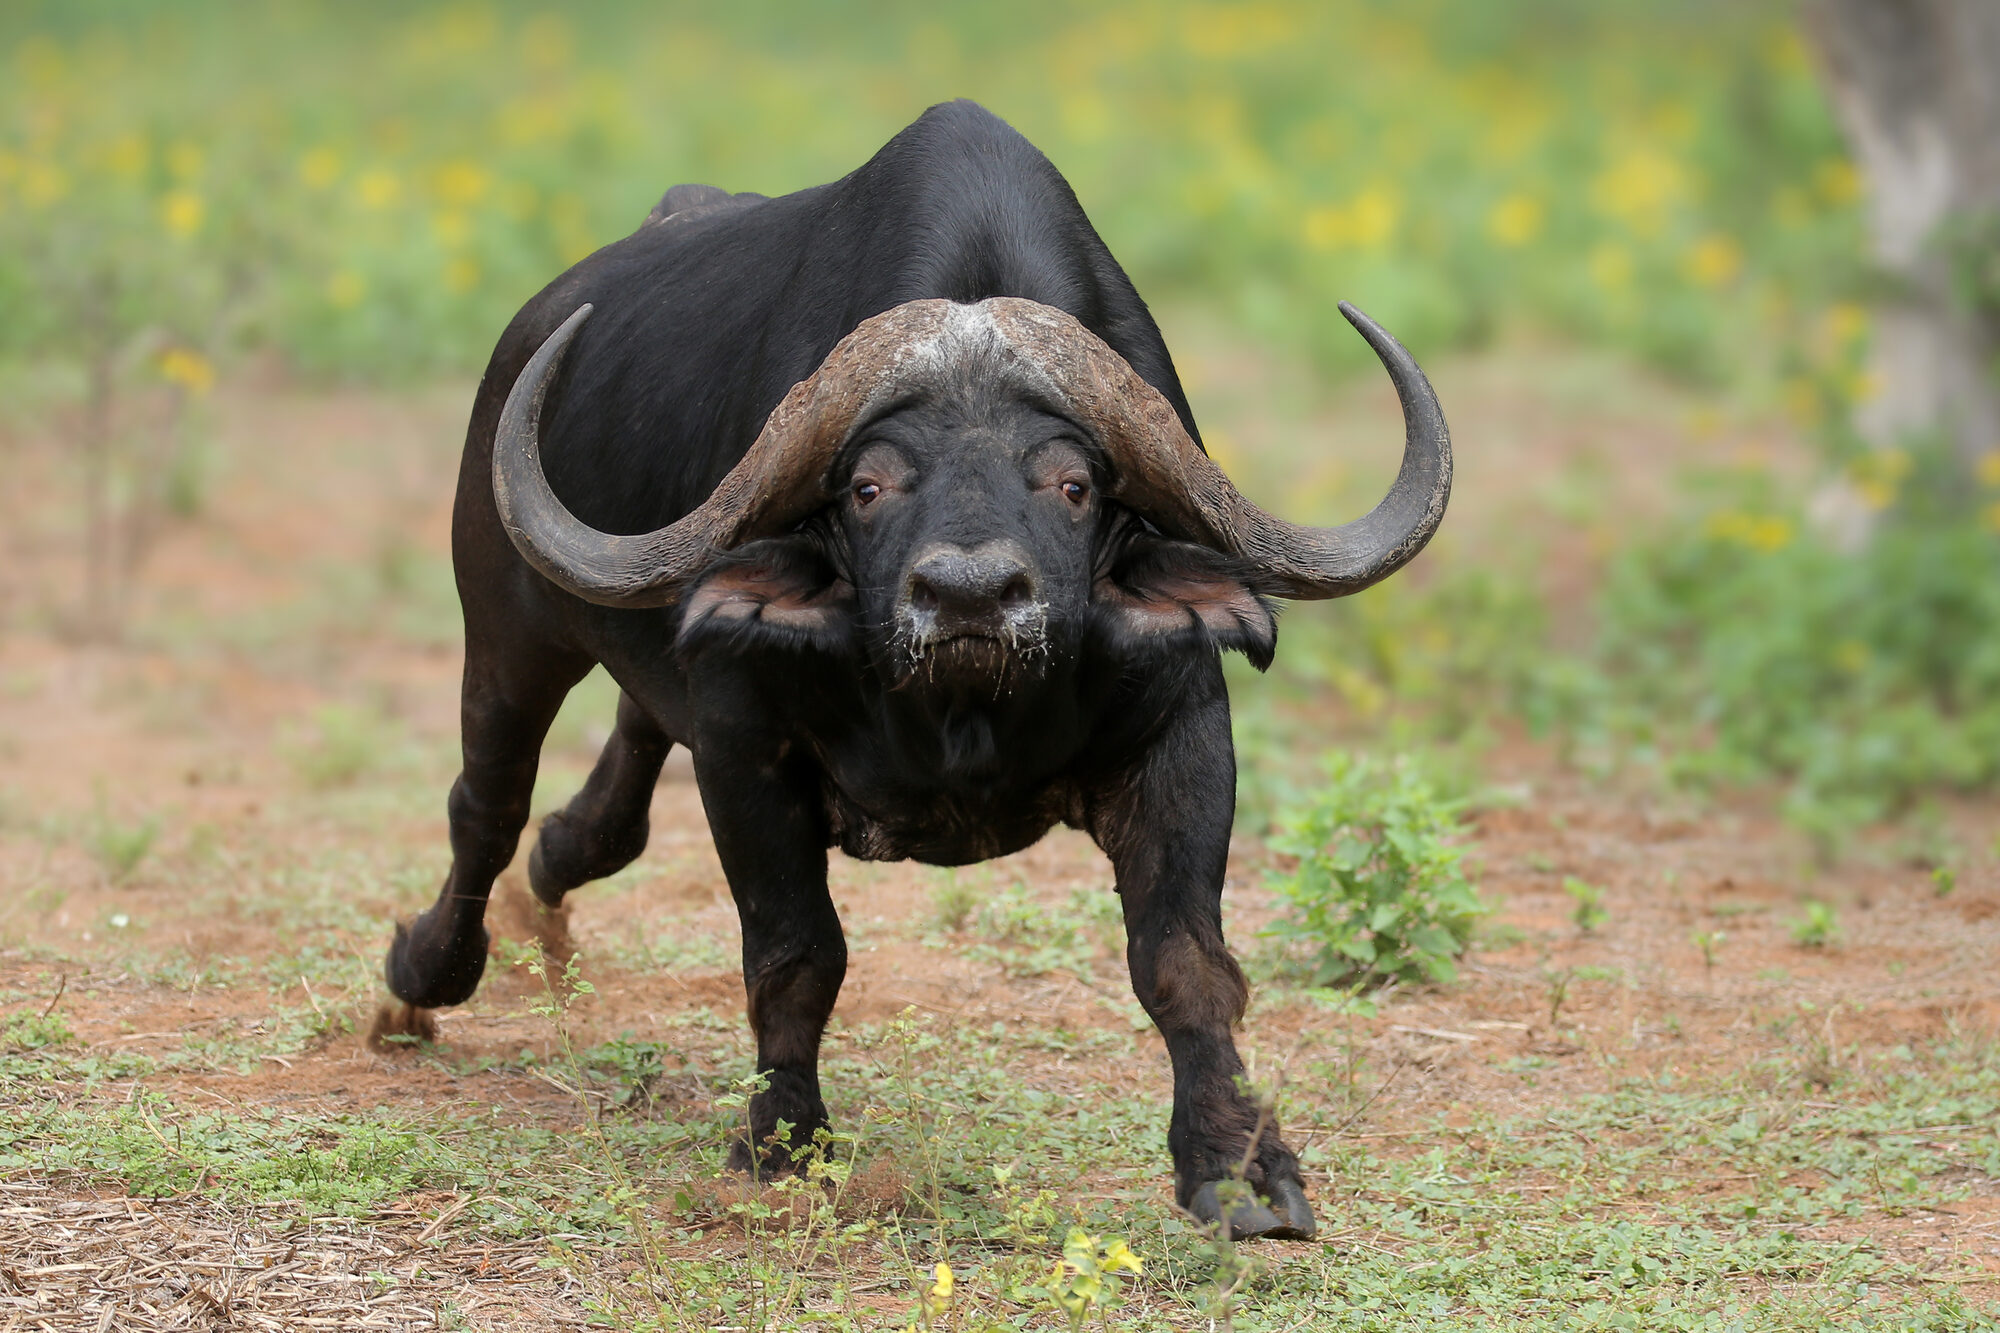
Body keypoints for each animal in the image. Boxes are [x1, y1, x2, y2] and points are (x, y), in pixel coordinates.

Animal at [382, 99, 1450, 1241]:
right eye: (867, 486)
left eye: (1072, 484)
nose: (970, 596)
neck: (960, 717)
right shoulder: (744, 748)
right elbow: (795, 954)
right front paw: (782, 1142)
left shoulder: (1186, 733)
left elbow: (1186, 961)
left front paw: (1238, 1165)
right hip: (507, 629)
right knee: (486, 802)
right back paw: (418, 976)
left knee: (612, 772)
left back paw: (559, 858)